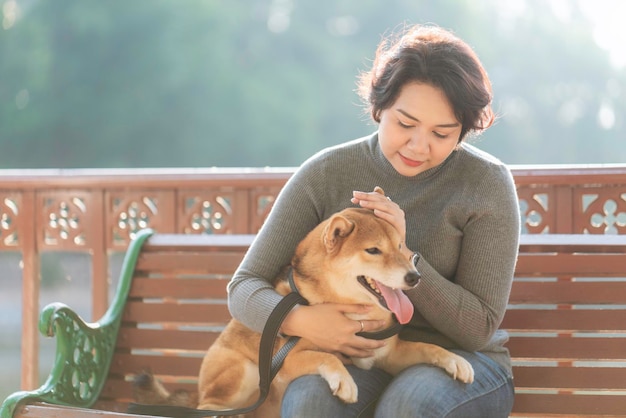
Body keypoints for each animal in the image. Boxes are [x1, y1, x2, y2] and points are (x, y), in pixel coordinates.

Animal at [133, 190, 472, 418]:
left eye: (401, 246)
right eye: (373, 250)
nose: (415, 277)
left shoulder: (387, 356)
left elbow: (428, 348)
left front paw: (455, 360)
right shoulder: (285, 363)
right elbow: (327, 357)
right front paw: (344, 380)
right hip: (245, 372)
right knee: (209, 406)